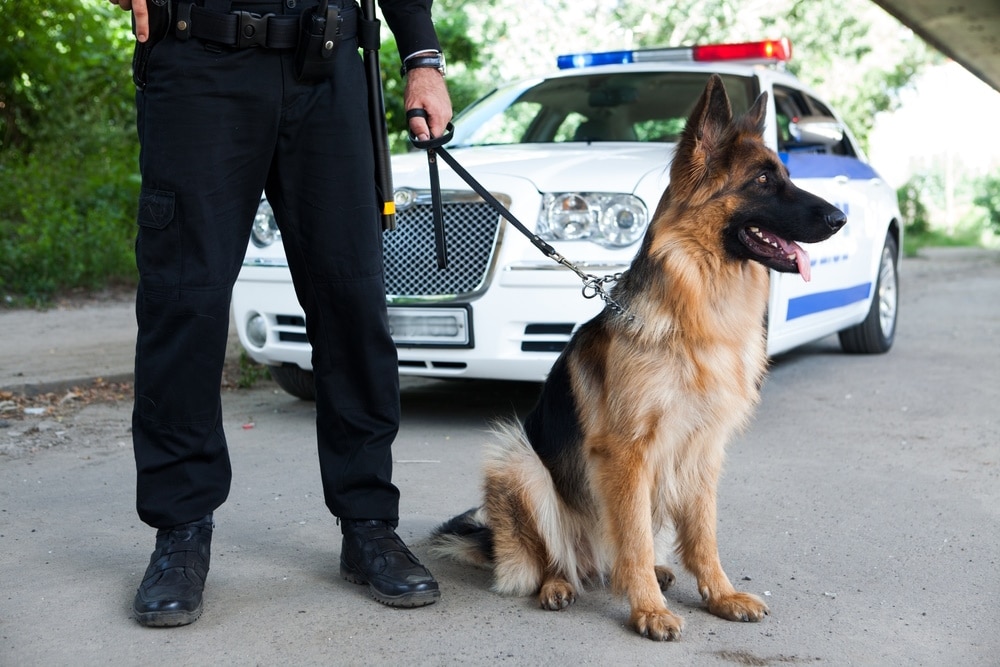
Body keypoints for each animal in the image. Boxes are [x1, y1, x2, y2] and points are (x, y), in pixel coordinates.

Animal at [430, 74, 844, 640]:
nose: (841, 217)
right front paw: (647, 609)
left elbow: (703, 534)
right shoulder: (627, 452)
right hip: (517, 460)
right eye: (762, 180)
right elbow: (632, 535)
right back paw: (559, 585)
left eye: (785, 176)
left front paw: (719, 595)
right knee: (557, 558)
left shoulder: (703, 451)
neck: (695, 313)